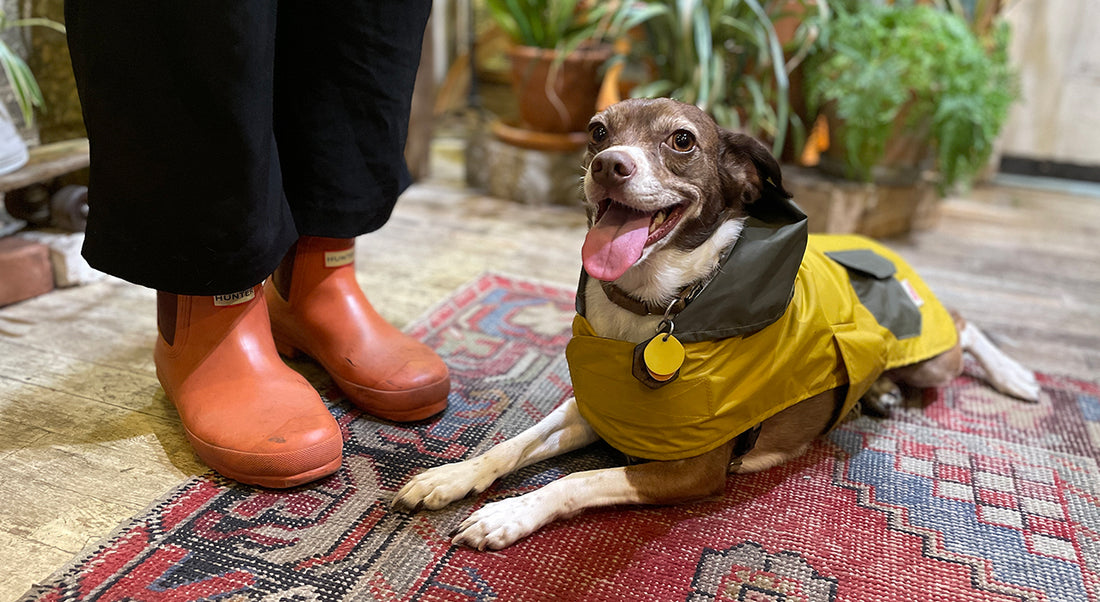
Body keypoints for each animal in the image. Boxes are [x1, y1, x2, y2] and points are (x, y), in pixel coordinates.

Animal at [393, 97, 1038, 550]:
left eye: (682, 140)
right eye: (598, 130)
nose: (607, 165)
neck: (653, 310)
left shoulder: (692, 469)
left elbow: (573, 482)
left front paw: (507, 514)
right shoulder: (593, 410)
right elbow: (513, 445)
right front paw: (450, 477)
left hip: (931, 357)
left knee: (963, 327)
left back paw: (1017, 378)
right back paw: (877, 393)